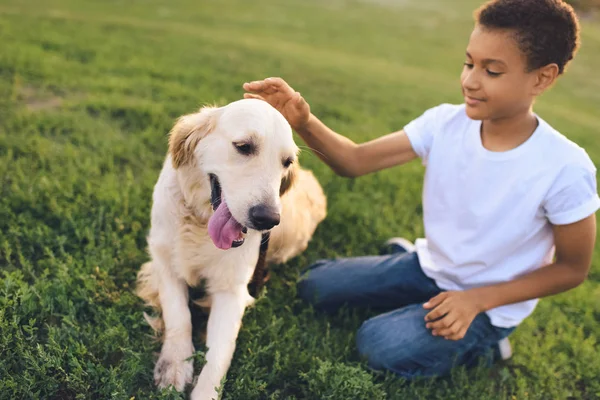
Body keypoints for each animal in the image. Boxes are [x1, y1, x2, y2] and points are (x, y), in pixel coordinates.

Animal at [135, 98, 326, 398]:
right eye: (244, 146)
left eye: (286, 163)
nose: (267, 219)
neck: (199, 222)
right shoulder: (164, 263)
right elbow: (179, 315)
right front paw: (175, 365)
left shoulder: (232, 292)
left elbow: (219, 354)